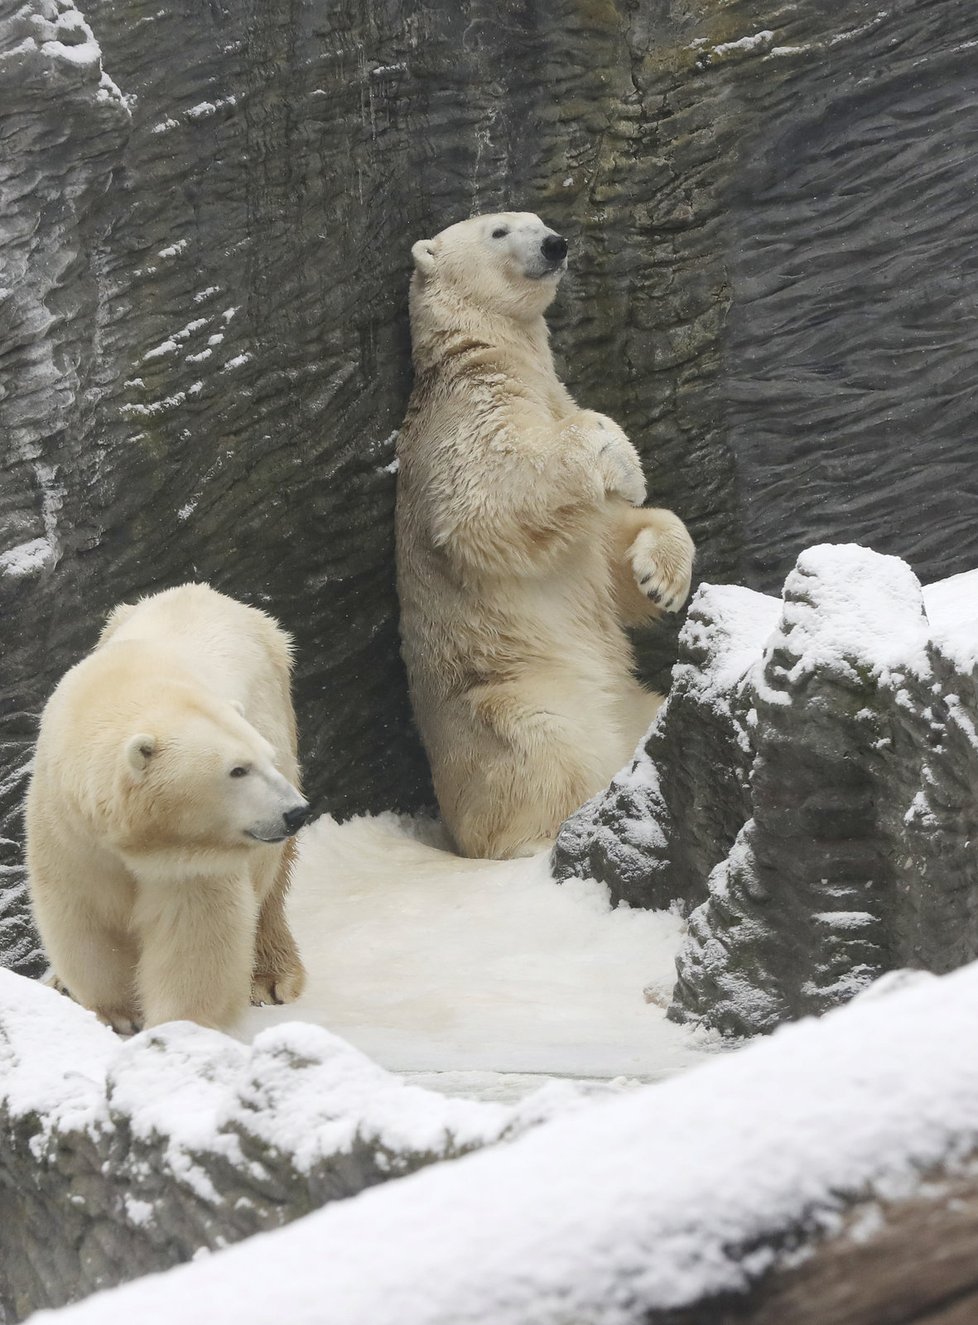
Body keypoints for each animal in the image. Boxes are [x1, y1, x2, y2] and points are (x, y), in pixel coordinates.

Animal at [25, 583, 308, 1033]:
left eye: (264, 759)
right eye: (237, 769)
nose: (295, 813)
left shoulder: (194, 857)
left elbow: (195, 931)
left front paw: (177, 1025)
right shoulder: (68, 827)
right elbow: (87, 917)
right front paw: (119, 1014)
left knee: (269, 885)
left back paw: (270, 977)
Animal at [397, 209, 694, 858]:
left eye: (538, 221)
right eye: (499, 230)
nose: (556, 245)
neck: (488, 357)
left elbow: (608, 550)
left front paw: (659, 578)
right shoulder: (464, 416)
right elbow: (490, 491)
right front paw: (621, 457)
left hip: (622, 699)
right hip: (509, 698)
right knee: (547, 752)